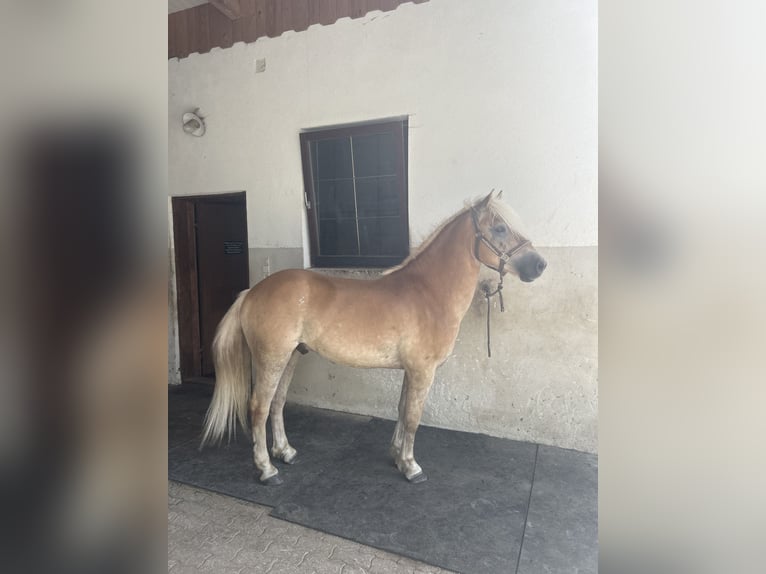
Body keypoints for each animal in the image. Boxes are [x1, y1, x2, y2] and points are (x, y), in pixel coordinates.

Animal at [198, 192, 544, 486]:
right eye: (500, 228)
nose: (540, 265)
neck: (429, 293)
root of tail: (251, 292)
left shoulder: (411, 371)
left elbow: (402, 410)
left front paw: (397, 457)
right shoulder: (423, 371)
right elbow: (413, 418)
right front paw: (411, 467)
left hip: (291, 356)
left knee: (277, 403)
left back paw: (285, 452)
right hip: (271, 358)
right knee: (258, 407)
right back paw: (267, 470)